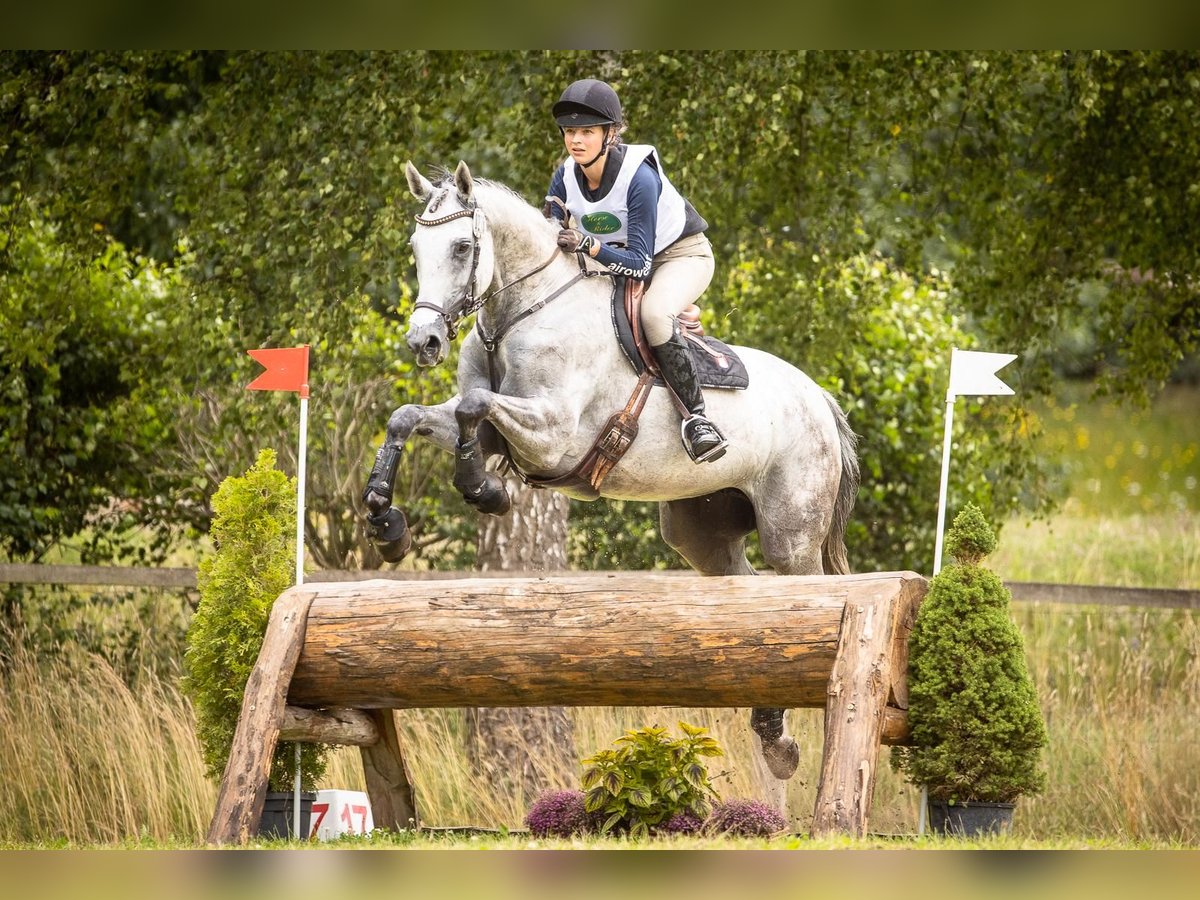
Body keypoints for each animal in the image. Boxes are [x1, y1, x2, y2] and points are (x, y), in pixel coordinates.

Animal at [360, 162, 859, 782]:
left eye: (461, 247)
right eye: (415, 248)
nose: (422, 341)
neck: (519, 313)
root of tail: (820, 398)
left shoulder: (553, 434)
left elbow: (477, 410)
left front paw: (484, 489)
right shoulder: (494, 422)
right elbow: (411, 416)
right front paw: (385, 521)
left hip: (791, 533)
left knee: (804, 597)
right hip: (701, 532)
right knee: (746, 600)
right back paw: (772, 735)